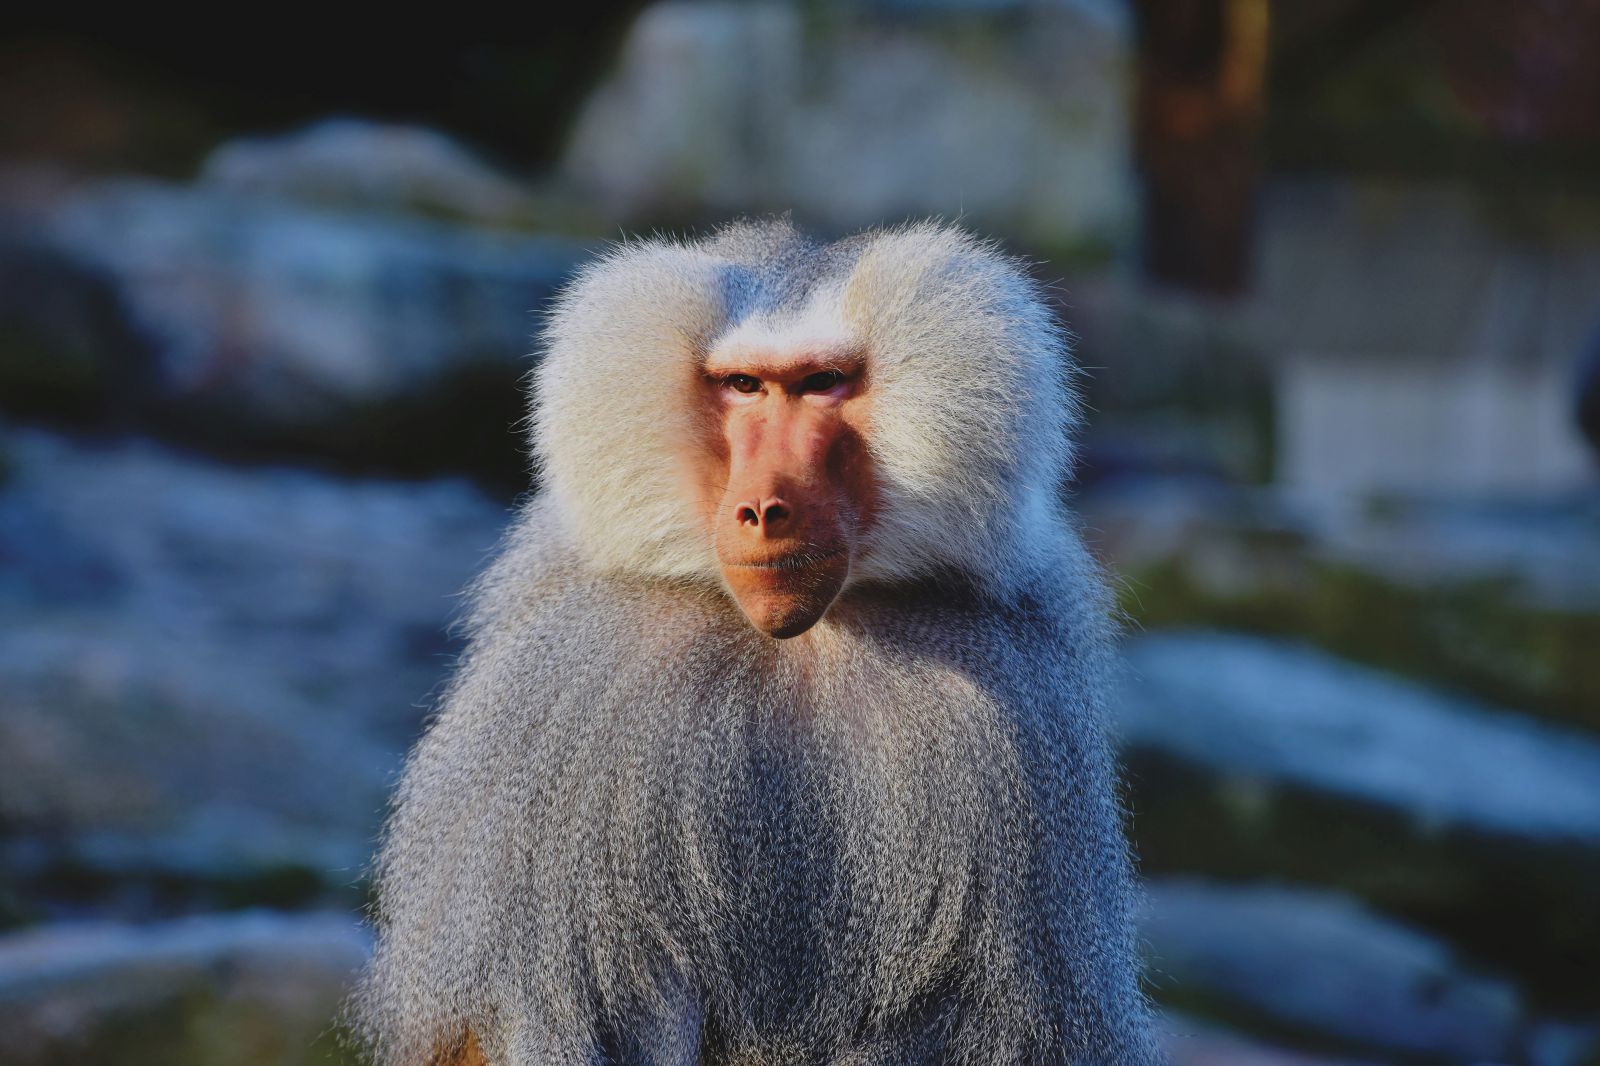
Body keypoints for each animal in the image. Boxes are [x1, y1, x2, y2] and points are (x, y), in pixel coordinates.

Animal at [350, 219, 1164, 1065]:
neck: (795, 645)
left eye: (821, 383)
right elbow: (513, 1020)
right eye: (743, 386)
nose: (766, 511)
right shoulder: (572, 707)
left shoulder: (1011, 716)